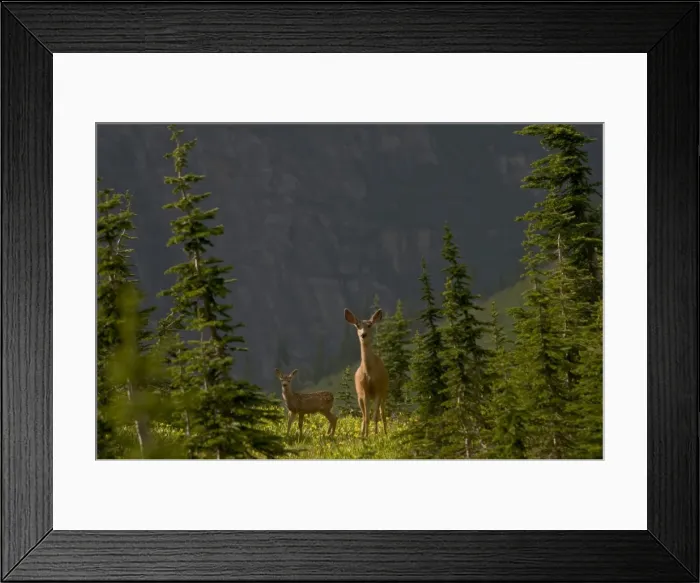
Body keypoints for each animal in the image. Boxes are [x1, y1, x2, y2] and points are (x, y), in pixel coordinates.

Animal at [344, 308, 389, 438]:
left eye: (369, 325)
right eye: (358, 325)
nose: (363, 334)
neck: (369, 371)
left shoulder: (378, 390)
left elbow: (375, 416)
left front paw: (376, 435)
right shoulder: (364, 392)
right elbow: (367, 417)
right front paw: (367, 436)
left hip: (384, 393)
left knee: (382, 413)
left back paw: (385, 432)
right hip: (359, 396)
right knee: (364, 415)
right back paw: (362, 434)